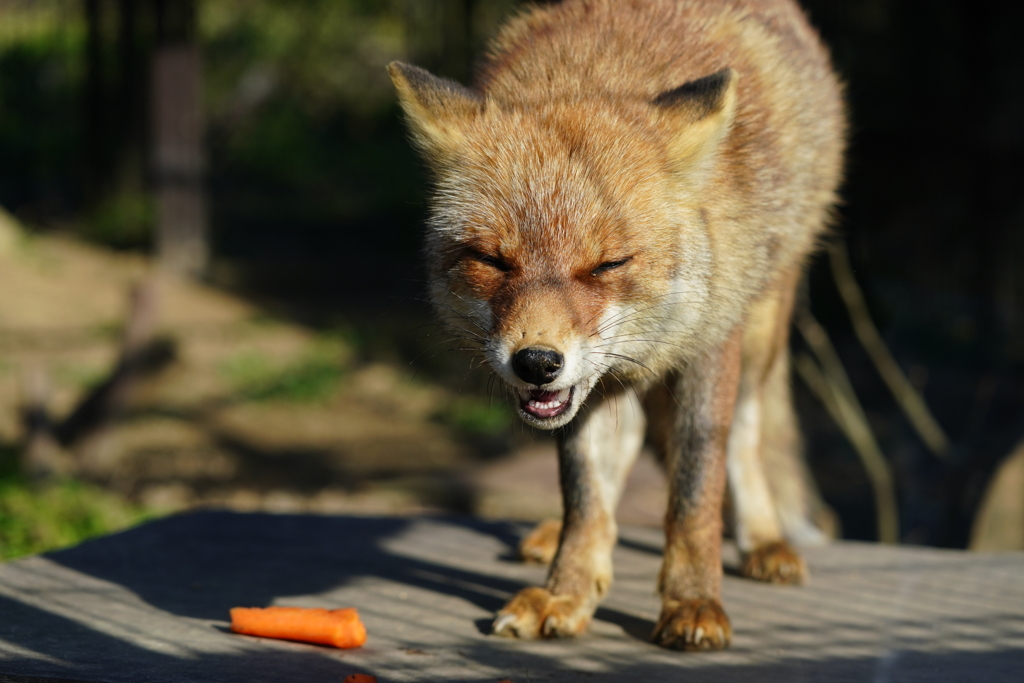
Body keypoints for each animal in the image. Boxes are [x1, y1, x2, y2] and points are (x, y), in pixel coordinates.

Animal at [387, 0, 843, 651]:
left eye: (608, 265)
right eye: (493, 261)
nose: (536, 362)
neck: (599, 73)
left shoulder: (710, 342)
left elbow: (696, 490)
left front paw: (693, 601)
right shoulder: (584, 387)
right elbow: (586, 495)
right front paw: (567, 592)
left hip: (762, 326)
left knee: (746, 433)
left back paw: (763, 538)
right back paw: (552, 537)